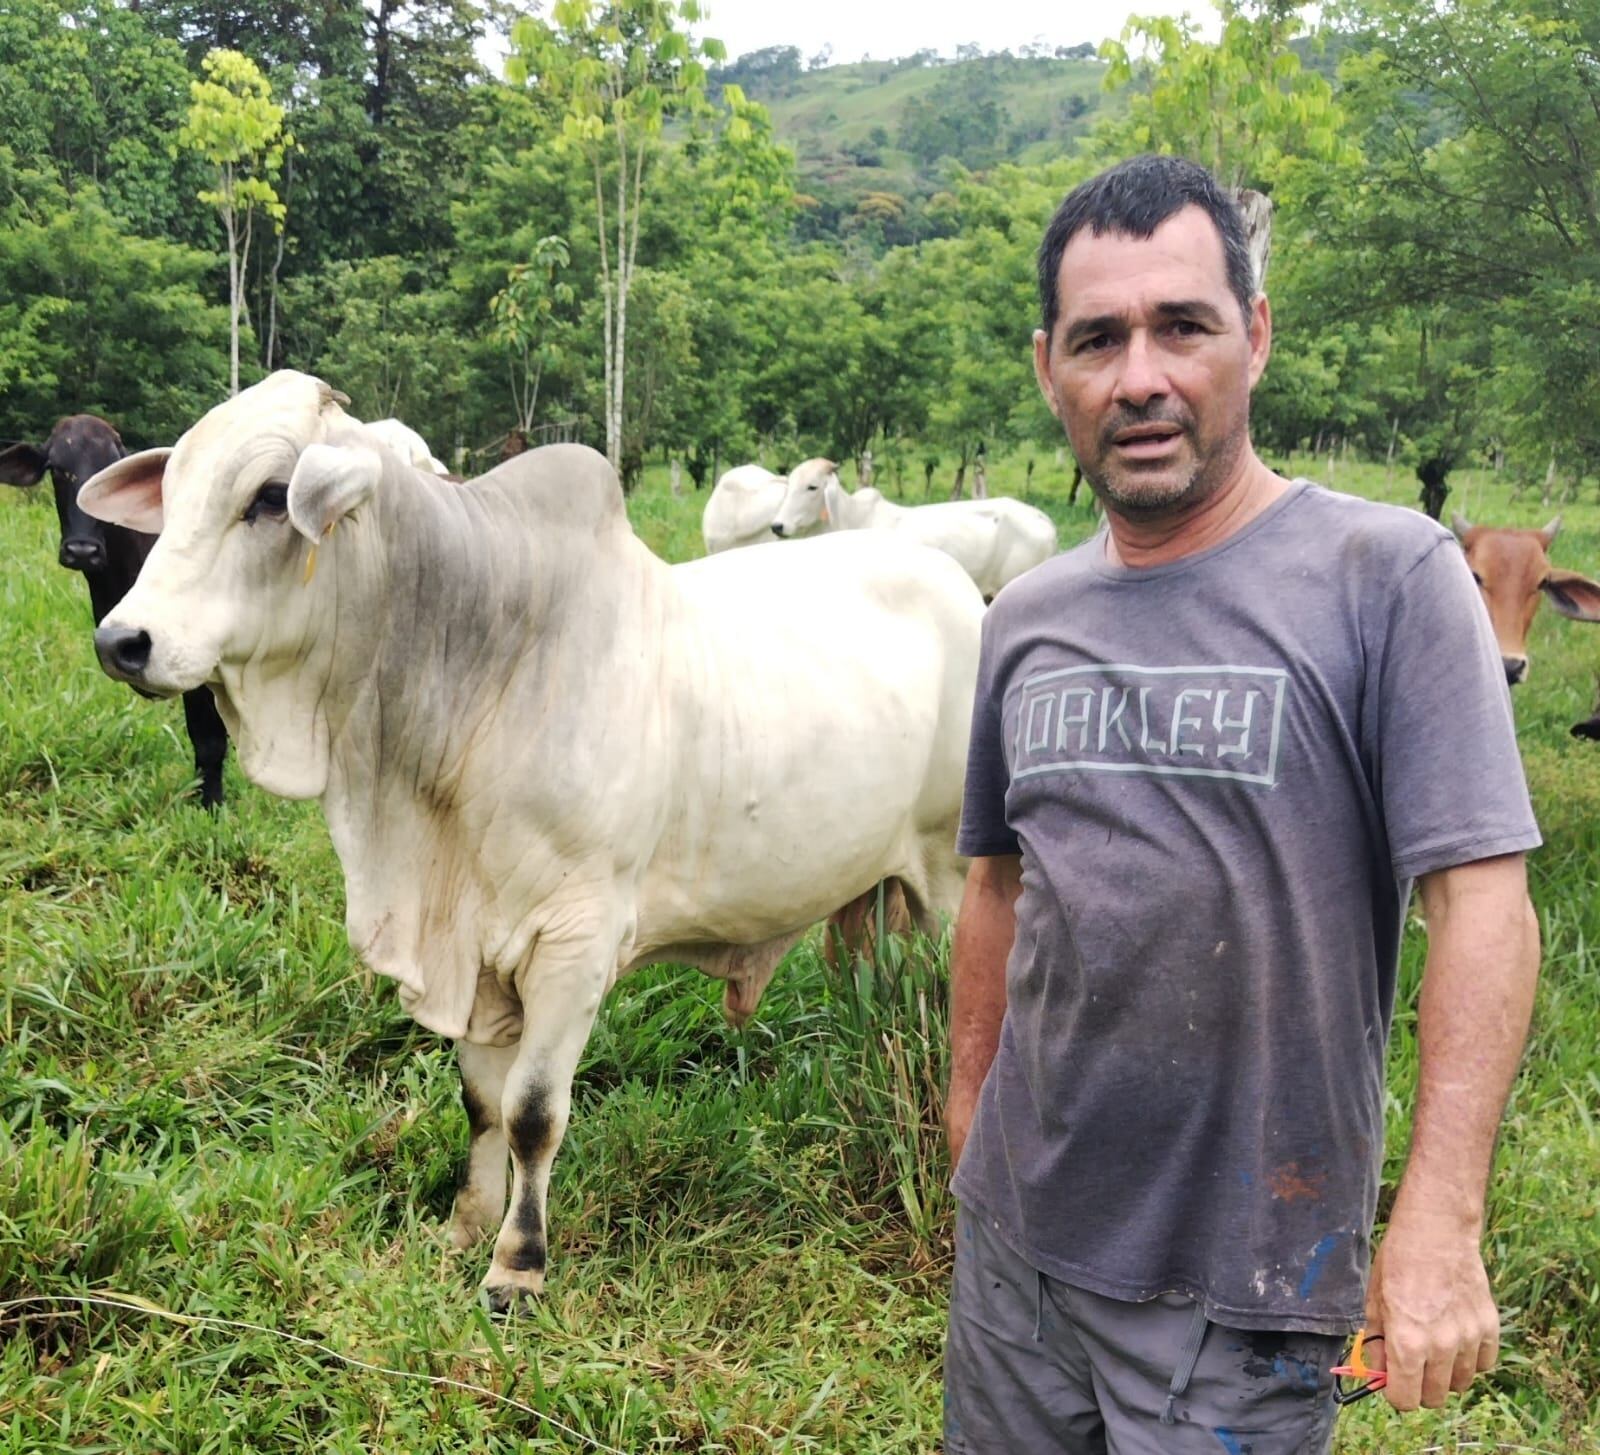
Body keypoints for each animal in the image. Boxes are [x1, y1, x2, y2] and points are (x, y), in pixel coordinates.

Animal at [77, 371, 982, 1311]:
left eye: (264, 496)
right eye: (173, 487)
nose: (122, 640)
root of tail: (960, 583)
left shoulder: (577, 944)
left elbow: (533, 1111)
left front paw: (517, 1263)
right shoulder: (469, 948)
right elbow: (481, 1103)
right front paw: (464, 1224)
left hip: (952, 875)